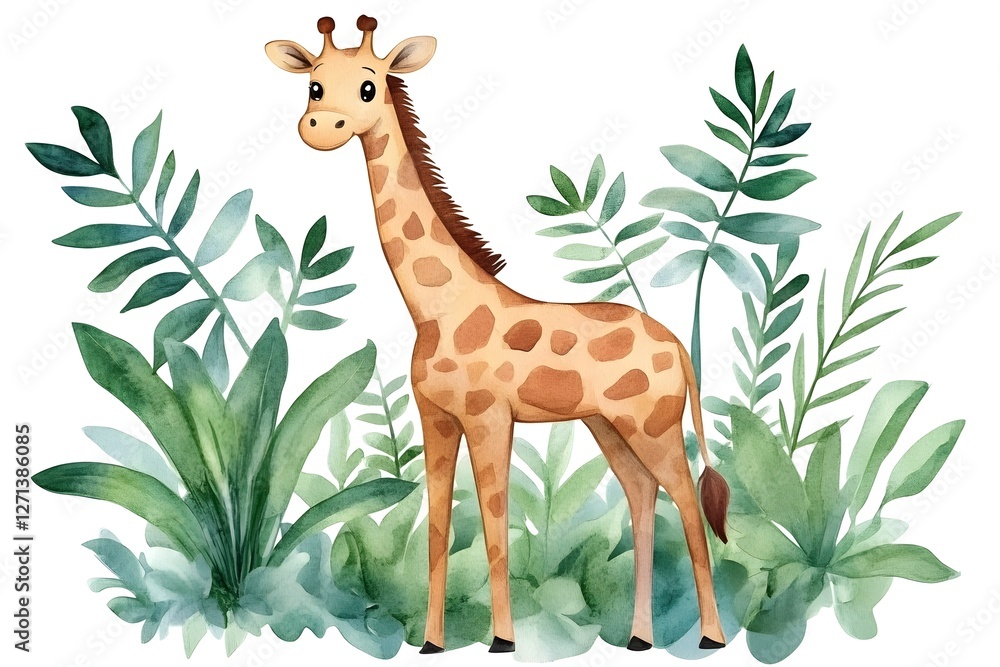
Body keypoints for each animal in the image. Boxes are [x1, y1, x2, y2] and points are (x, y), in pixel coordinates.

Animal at [266, 16, 731, 654]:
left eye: (368, 86)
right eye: (313, 85)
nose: (321, 129)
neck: (436, 309)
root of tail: (678, 345)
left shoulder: (488, 417)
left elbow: (493, 525)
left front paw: (503, 641)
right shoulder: (436, 418)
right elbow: (438, 529)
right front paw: (431, 643)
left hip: (653, 423)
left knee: (686, 501)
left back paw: (712, 637)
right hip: (608, 425)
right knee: (641, 494)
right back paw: (639, 637)